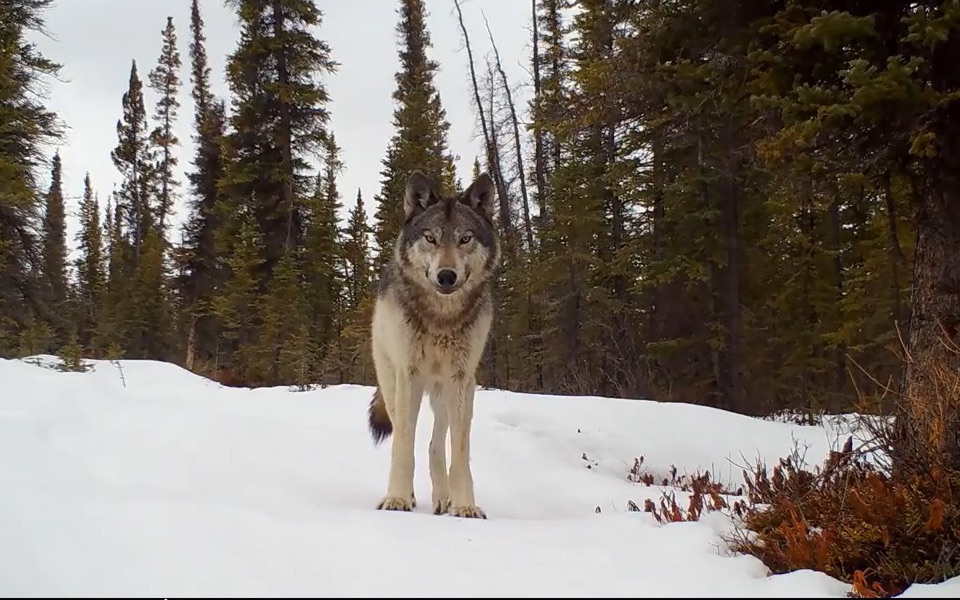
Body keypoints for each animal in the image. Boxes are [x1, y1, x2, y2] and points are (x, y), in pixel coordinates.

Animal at [366, 170, 502, 520]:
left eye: (465, 239)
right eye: (431, 238)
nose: (446, 276)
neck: (441, 318)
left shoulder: (461, 379)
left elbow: (460, 453)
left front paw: (464, 505)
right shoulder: (408, 375)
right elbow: (403, 445)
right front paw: (397, 499)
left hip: (447, 395)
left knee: (434, 445)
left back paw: (444, 499)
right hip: (392, 384)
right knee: (405, 437)